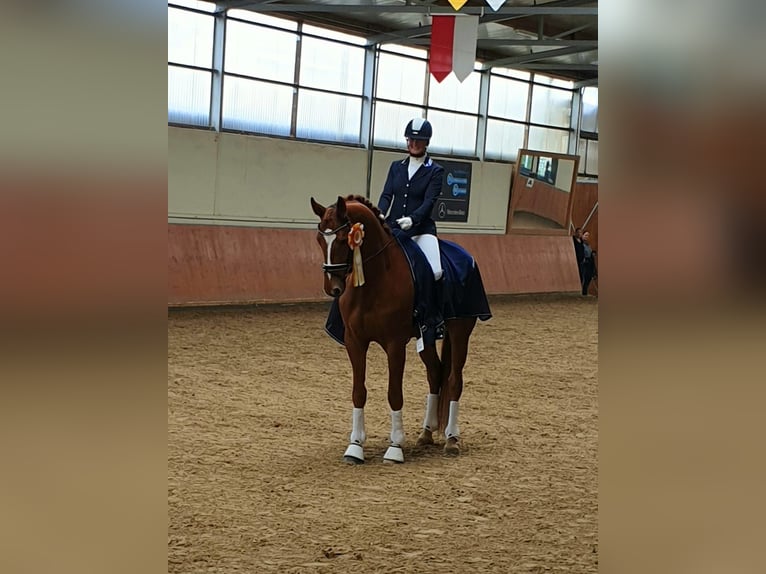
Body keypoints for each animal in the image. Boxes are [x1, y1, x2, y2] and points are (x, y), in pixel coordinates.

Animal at [310, 194, 489, 464]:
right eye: (320, 238)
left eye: (342, 238)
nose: (333, 288)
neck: (373, 281)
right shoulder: (355, 342)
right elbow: (358, 391)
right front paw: (355, 446)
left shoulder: (394, 344)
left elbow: (394, 393)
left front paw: (395, 447)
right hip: (426, 337)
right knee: (435, 373)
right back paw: (426, 434)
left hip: (460, 331)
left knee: (454, 379)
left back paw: (451, 440)